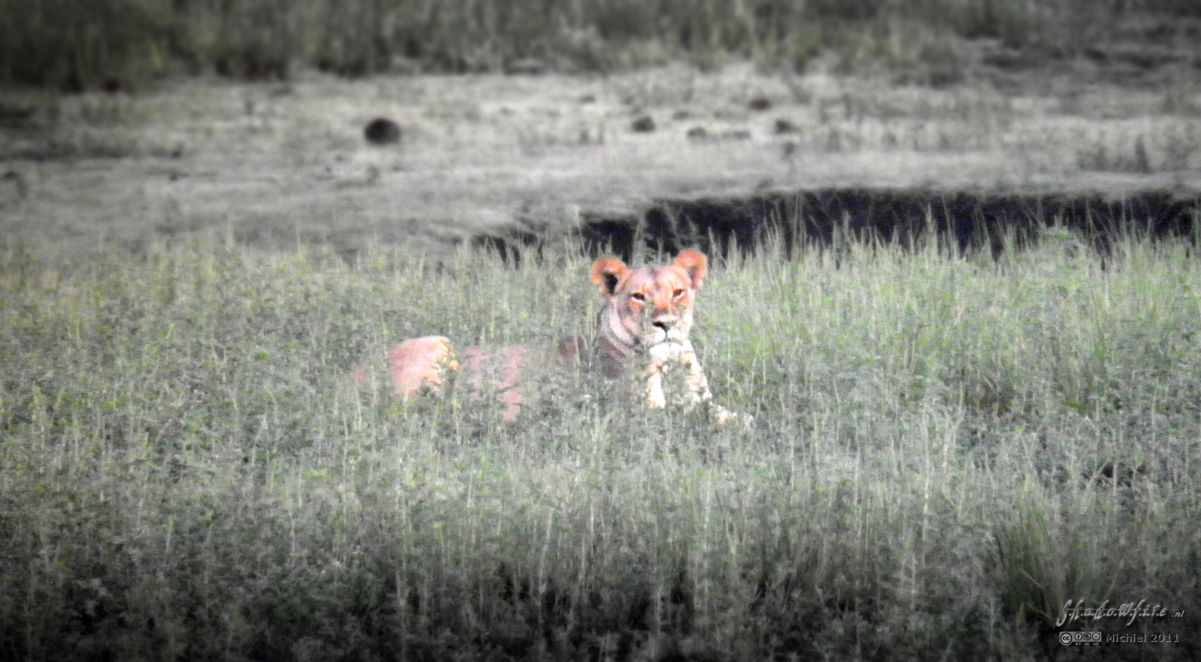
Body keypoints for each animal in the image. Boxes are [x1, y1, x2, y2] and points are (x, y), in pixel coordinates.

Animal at [353, 247, 749, 425]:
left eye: (678, 292)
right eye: (638, 297)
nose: (664, 323)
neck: (672, 362)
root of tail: (346, 375)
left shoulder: (701, 399)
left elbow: (730, 414)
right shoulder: (639, 412)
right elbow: (691, 419)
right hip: (438, 345)